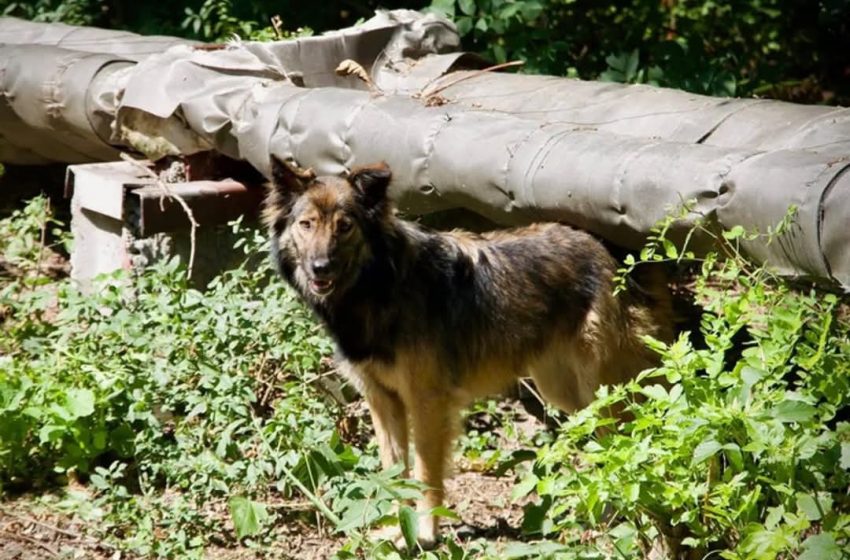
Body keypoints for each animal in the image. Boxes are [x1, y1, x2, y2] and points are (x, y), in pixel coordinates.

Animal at [262, 158, 672, 548]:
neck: (378, 285)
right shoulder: (382, 400)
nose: (320, 268)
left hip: (601, 392)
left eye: (345, 226)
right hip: (564, 390)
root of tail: (608, 255)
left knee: (635, 438)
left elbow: (426, 473)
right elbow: (394, 473)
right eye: (307, 224)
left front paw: (426, 534)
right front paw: (397, 531)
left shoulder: (427, 401)